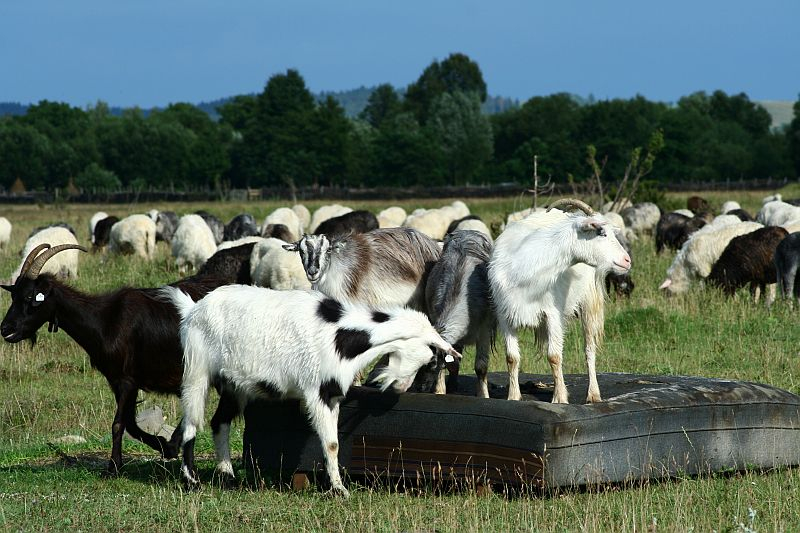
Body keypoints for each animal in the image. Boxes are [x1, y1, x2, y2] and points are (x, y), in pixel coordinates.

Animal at [0, 243, 235, 473]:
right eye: (13, 296)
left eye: (30, 298)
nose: (5, 329)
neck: (105, 320)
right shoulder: (118, 380)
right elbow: (130, 423)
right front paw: (163, 446)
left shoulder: (126, 380)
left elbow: (118, 424)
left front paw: (113, 466)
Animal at [165, 285, 460, 496]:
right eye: (431, 359)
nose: (401, 388)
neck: (342, 336)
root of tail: (193, 309)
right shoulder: (319, 393)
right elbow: (331, 443)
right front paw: (339, 491)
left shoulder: (335, 394)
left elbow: (335, 441)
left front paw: (336, 486)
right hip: (197, 370)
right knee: (191, 424)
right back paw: (192, 481)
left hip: (233, 384)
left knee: (219, 422)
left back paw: (227, 477)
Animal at [488, 198, 631, 404]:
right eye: (601, 232)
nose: (627, 260)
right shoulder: (505, 315)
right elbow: (511, 358)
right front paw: (513, 397)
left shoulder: (553, 313)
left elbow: (554, 356)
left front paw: (560, 398)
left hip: (589, 301)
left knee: (589, 349)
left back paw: (593, 394)